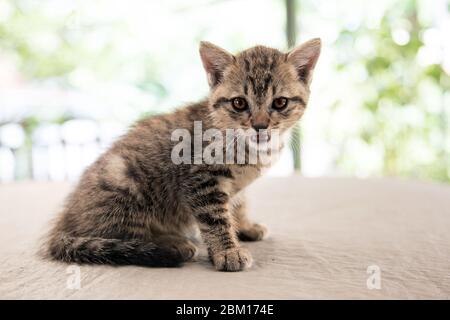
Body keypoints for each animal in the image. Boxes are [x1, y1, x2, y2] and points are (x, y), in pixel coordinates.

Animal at [44, 38, 320, 272]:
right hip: (122, 180)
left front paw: (244, 226)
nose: (260, 126)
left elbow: (238, 203)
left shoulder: (233, 185)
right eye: (239, 103)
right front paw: (227, 251)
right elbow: (215, 217)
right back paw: (171, 243)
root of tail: (63, 223)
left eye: (280, 102)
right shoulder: (199, 177)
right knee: (120, 232)